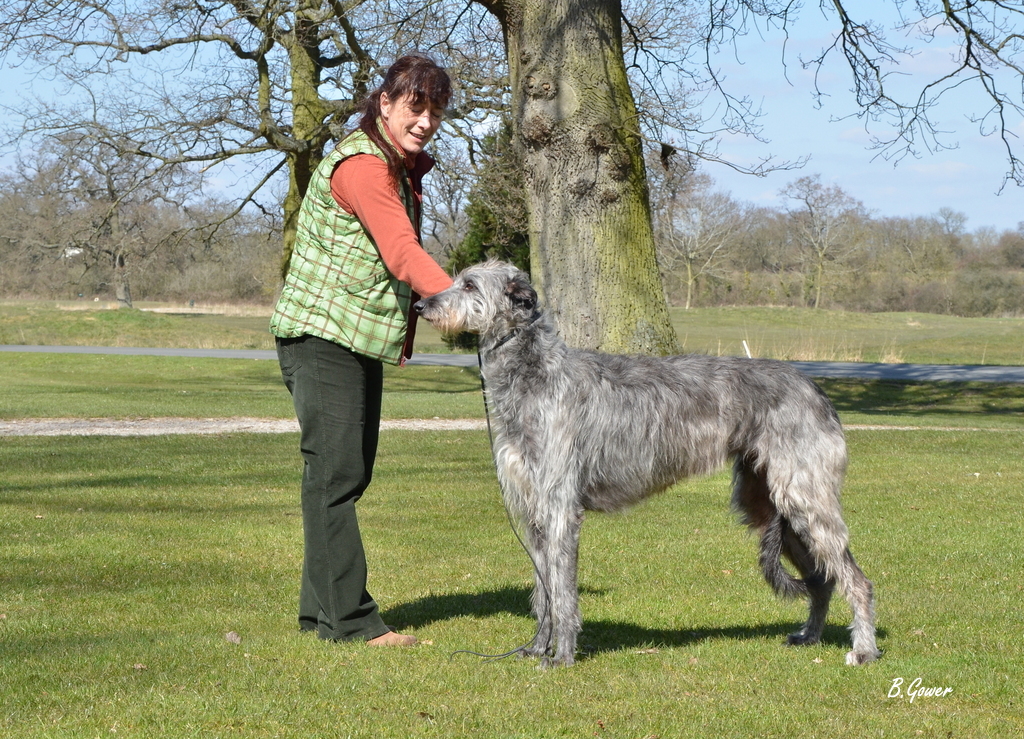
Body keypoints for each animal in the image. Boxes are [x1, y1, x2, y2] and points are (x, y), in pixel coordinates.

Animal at [411, 261, 876, 667]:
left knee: (855, 579)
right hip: (769, 503)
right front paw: (537, 648)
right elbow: (543, 592)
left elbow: (562, 593)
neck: (534, 373)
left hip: (804, 496)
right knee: (821, 579)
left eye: (469, 285)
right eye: (456, 280)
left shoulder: (560, 506)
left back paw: (864, 650)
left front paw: (562, 656)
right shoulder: (533, 509)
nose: (421, 306)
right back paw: (810, 636)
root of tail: (815, 388)